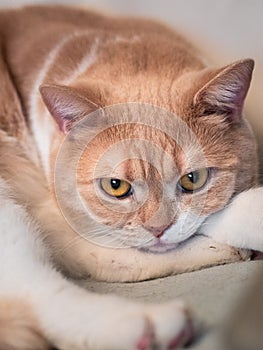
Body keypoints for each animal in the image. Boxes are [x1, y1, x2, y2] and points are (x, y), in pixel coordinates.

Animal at [0, 4, 262, 350]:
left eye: (192, 179)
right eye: (116, 187)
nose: (158, 229)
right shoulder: (59, 223)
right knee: (40, 292)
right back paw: (151, 325)